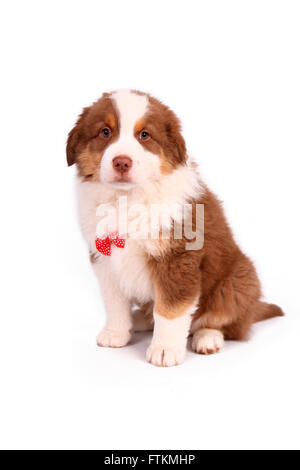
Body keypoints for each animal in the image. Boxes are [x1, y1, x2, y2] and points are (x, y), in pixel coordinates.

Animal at [66, 88, 284, 368]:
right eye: (105, 132)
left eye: (144, 135)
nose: (122, 162)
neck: (126, 199)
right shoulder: (104, 258)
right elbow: (114, 301)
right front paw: (116, 332)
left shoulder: (177, 259)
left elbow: (170, 309)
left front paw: (164, 349)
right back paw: (139, 320)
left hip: (238, 280)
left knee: (228, 321)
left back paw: (208, 338)